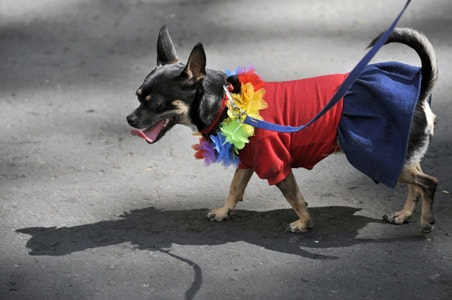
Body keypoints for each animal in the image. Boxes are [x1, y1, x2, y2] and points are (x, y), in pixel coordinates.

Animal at [127, 25, 438, 233]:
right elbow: (234, 188)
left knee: (428, 182)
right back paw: (403, 214)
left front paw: (304, 222)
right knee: (417, 183)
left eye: (154, 104)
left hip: (376, 158)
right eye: (137, 96)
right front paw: (224, 211)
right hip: (401, 157)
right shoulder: (249, 161)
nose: (129, 120)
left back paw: (424, 221)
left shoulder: (275, 163)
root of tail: (421, 93)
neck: (226, 103)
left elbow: (294, 196)